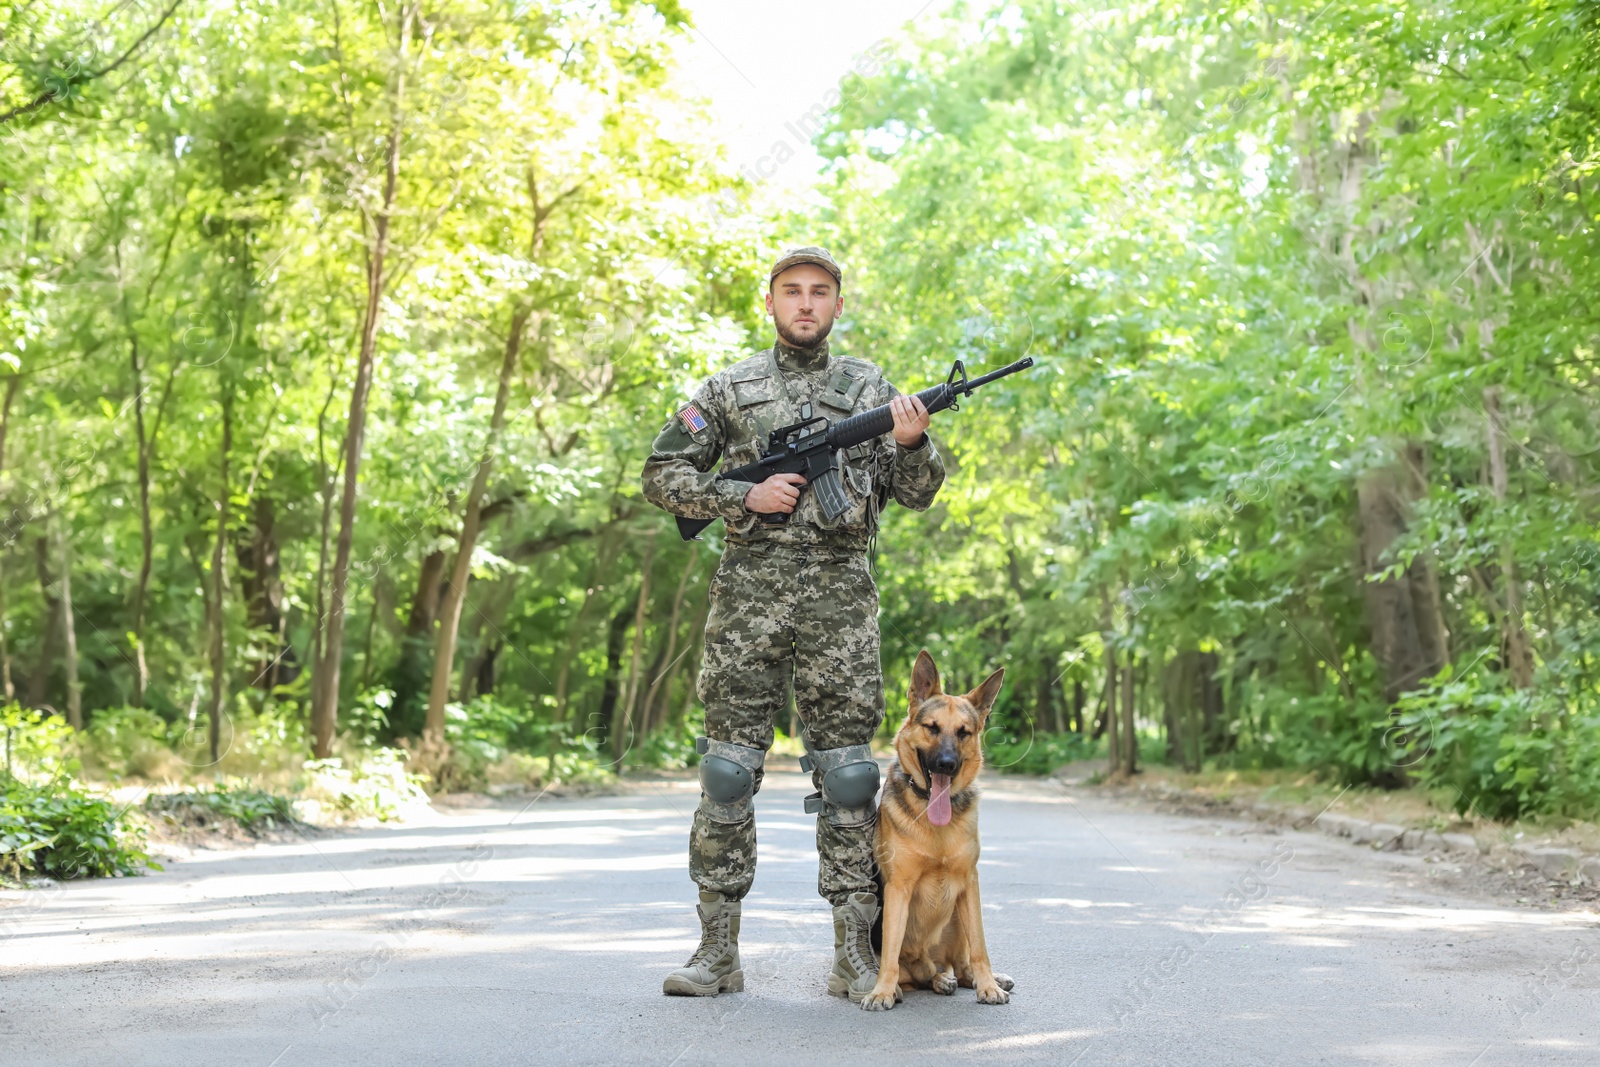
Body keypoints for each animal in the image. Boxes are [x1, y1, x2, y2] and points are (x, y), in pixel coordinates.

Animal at [864, 652, 1011, 1011]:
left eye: (964, 733)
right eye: (931, 728)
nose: (946, 764)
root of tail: (928, 961)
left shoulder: (969, 883)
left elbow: (980, 946)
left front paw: (988, 986)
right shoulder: (898, 889)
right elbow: (889, 954)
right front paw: (882, 990)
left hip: (957, 916)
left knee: (961, 964)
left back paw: (972, 978)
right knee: (915, 973)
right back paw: (922, 983)